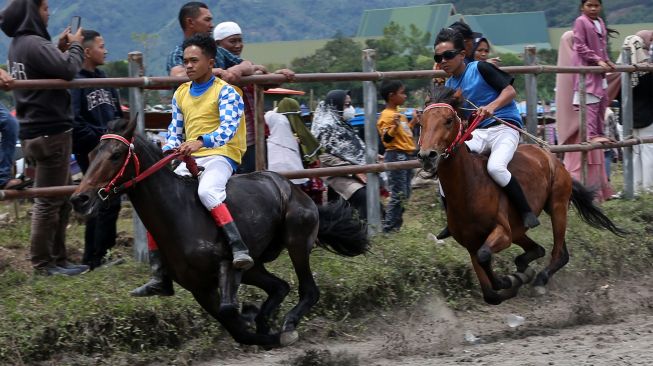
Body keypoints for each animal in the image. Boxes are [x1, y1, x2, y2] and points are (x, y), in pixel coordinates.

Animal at [71, 118, 370, 348]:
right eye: (90, 155)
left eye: (115, 155)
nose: (80, 199)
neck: (180, 214)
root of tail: (294, 188)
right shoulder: (198, 288)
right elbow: (236, 329)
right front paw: (257, 324)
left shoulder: (228, 266)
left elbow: (229, 311)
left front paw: (255, 318)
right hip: (255, 266)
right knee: (280, 286)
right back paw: (265, 319)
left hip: (296, 240)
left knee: (308, 290)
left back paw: (287, 324)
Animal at [416, 87, 624, 304]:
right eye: (421, 123)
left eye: (448, 120)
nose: (427, 156)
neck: (468, 188)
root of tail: (552, 157)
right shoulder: (471, 244)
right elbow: (490, 293)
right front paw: (514, 280)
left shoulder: (503, 233)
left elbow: (485, 256)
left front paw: (511, 279)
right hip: (520, 229)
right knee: (541, 250)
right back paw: (525, 267)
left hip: (557, 206)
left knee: (558, 252)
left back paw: (539, 278)